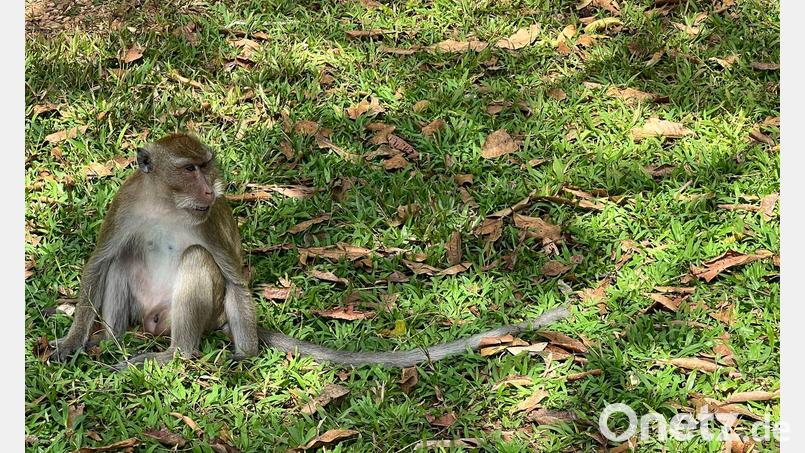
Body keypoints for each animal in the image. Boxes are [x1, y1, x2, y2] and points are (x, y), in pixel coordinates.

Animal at [48, 133, 571, 370]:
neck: (165, 203)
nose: (212, 187)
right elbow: (99, 262)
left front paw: (246, 355)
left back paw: (176, 354)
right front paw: (71, 343)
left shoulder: (207, 218)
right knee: (122, 260)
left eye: (205, 166)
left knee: (199, 263)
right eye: (189, 168)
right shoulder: (126, 203)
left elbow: (233, 275)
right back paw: (111, 341)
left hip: (199, 314)